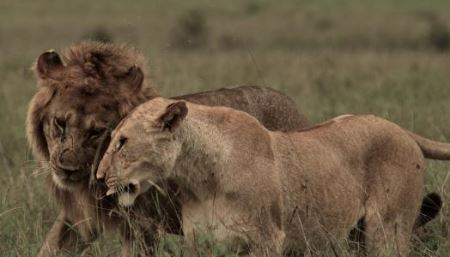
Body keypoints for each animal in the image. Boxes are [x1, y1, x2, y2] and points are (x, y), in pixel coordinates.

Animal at [28, 41, 310, 255]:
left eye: (96, 132)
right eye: (60, 122)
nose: (67, 170)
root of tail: (294, 107)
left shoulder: (143, 228)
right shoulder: (75, 218)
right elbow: (51, 247)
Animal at [98, 97, 450, 256]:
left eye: (122, 142)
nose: (100, 178)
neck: (198, 177)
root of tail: (401, 129)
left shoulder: (266, 239)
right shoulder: (200, 243)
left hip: (387, 231)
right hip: (357, 236)